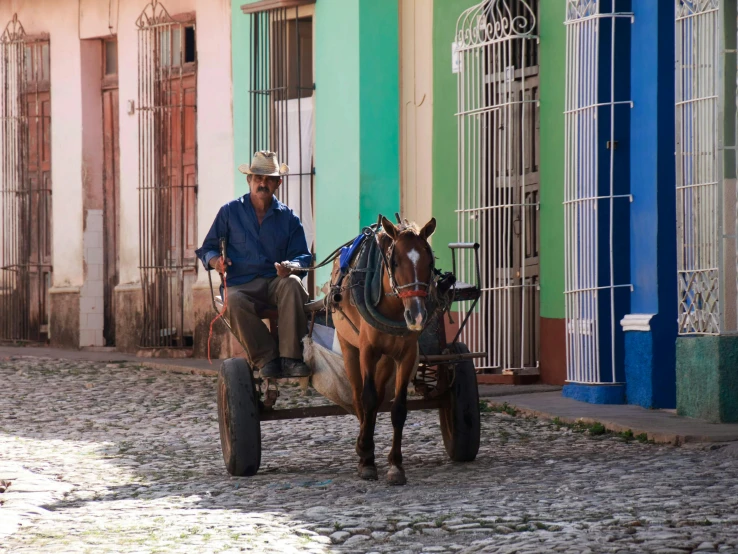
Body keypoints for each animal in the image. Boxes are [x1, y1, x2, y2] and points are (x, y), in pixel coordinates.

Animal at [330, 215, 434, 484]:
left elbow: (398, 408)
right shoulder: (368, 350)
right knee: (359, 397)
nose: (417, 315)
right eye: (395, 263)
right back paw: (363, 446)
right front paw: (366, 456)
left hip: (387, 359)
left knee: (378, 398)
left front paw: (395, 465)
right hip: (349, 348)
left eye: (429, 262)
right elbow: (367, 399)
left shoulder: (406, 355)